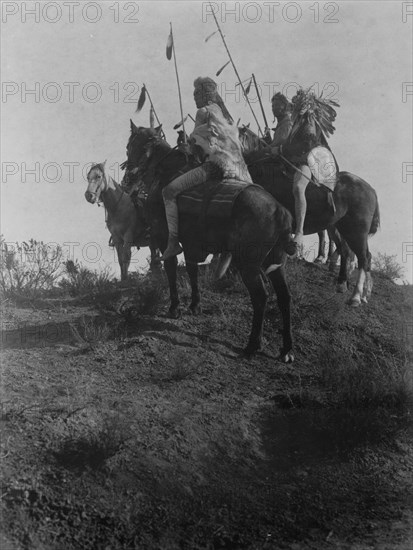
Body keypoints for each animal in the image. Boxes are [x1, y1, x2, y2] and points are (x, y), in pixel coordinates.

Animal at [124, 124, 296, 366]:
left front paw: (174, 308)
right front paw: (195, 305)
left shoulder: (164, 238)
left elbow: (171, 269)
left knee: (261, 297)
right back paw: (286, 349)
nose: (127, 176)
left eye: (131, 145)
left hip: (249, 265)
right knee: (284, 297)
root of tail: (281, 211)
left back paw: (252, 345)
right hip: (276, 262)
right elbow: (192, 270)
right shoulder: (190, 243)